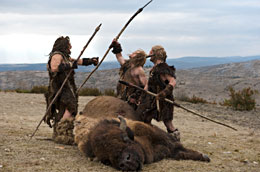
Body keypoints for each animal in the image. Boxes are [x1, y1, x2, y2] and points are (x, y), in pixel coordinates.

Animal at [73, 113, 211, 171]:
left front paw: (205, 157)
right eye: (106, 161)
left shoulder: (168, 143)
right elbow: (181, 153)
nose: (125, 162)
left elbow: (184, 151)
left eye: (125, 138)